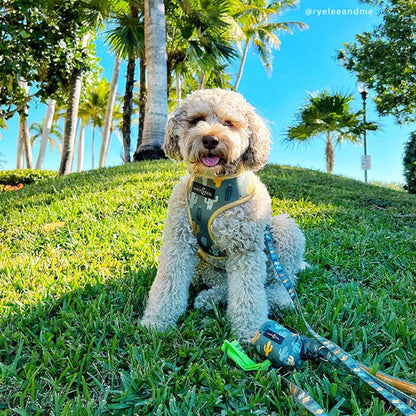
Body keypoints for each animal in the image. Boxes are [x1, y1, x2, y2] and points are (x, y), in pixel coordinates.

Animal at [141, 88, 306, 342]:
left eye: (229, 123)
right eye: (196, 120)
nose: (210, 140)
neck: (214, 185)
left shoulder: (246, 250)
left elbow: (248, 293)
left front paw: (250, 330)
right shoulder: (179, 241)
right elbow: (168, 282)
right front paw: (157, 321)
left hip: (283, 232)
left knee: (278, 282)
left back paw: (279, 299)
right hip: (204, 269)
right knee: (226, 286)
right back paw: (208, 298)